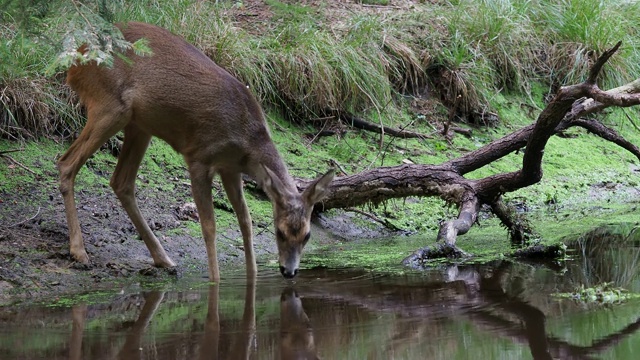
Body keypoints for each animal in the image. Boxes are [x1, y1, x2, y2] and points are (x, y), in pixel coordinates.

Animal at [58, 21, 336, 282]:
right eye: (279, 232)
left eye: (307, 235)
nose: (289, 271)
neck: (246, 141)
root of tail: (75, 60)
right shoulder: (199, 157)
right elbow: (209, 226)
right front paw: (215, 281)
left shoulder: (230, 168)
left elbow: (245, 221)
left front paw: (252, 277)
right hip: (110, 106)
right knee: (66, 163)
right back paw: (79, 251)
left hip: (139, 125)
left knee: (121, 182)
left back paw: (163, 259)